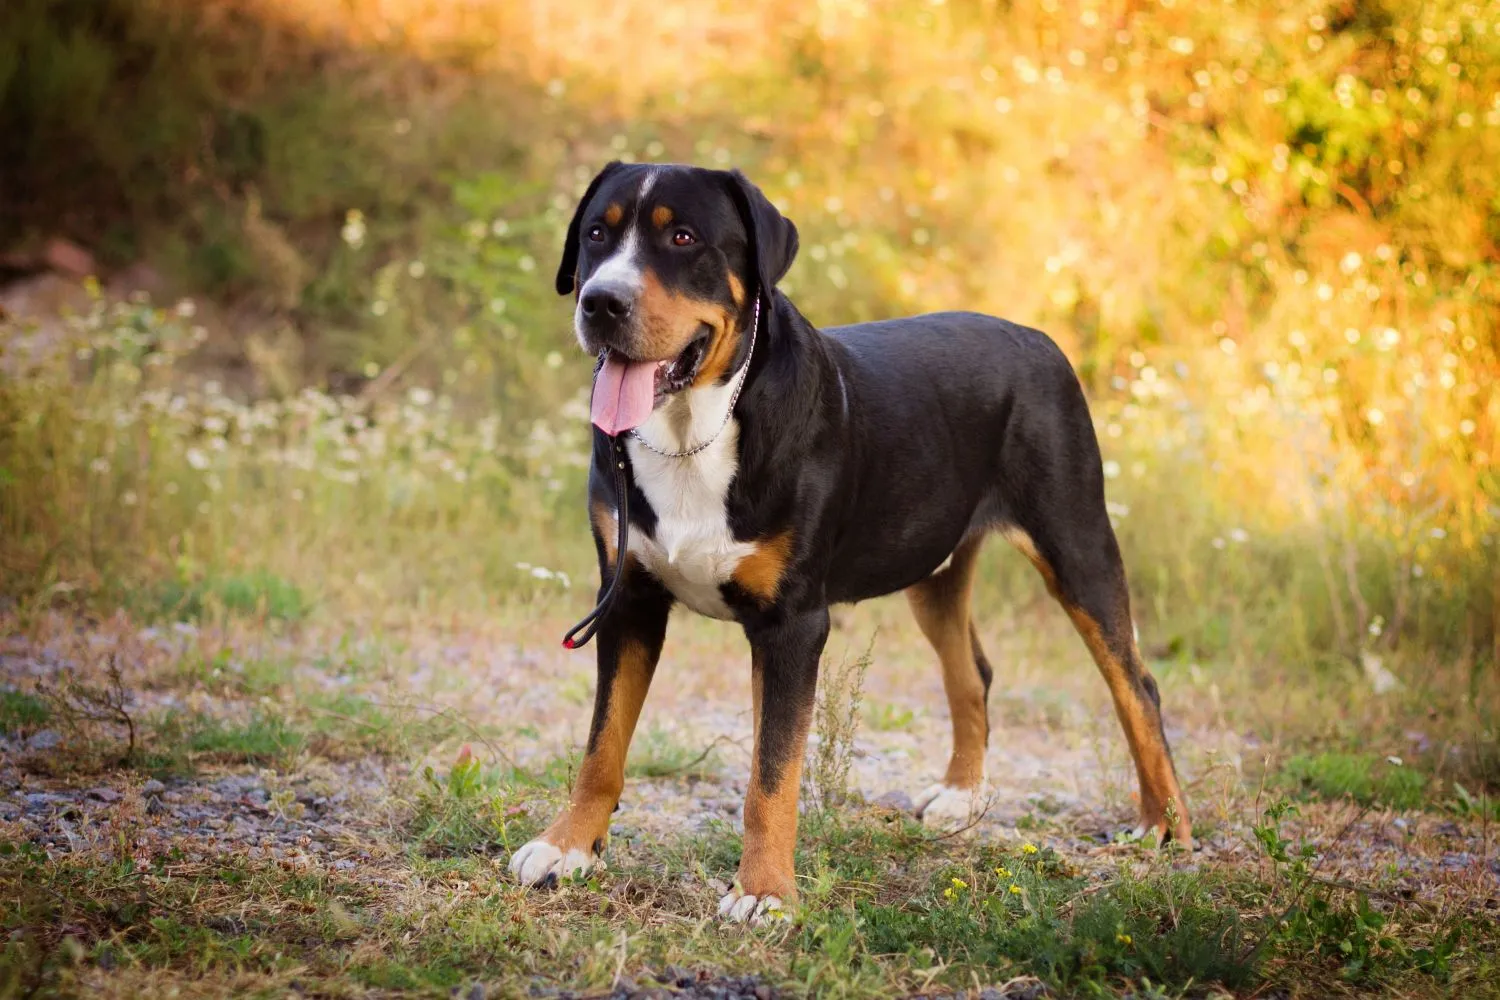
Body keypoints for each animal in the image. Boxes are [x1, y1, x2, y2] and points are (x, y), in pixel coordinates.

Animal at [510, 164, 1188, 923]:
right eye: (597, 234)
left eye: (682, 237)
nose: (601, 302)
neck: (691, 432)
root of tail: (1036, 337)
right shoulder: (628, 598)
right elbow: (603, 746)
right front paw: (567, 846)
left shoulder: (793, 623)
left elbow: (772, 774)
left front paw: (764, 891)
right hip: (934, 569)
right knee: (972, 673)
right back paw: (962, 796)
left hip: (1076, 545)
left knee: (1137, 686)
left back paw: (1165, 826)